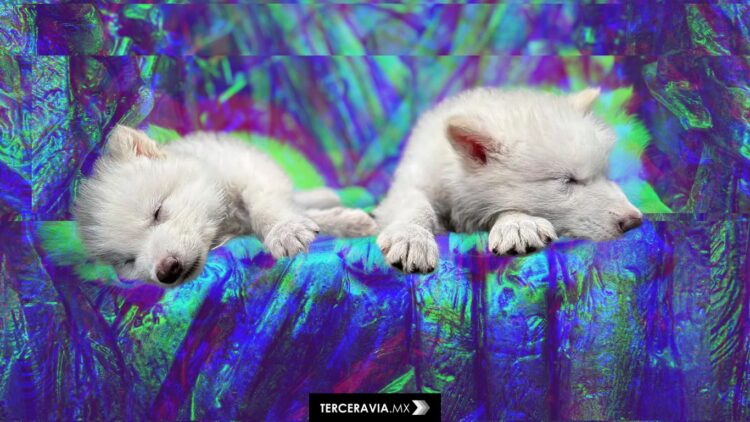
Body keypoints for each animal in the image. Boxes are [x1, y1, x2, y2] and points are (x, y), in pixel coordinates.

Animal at [75, 126, 377, 286]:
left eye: (157, 212)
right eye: (128, 261)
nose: (166, 271)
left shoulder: (252, 171)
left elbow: (266, 206)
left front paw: (285, 230)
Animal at [374, 87, 643, 273]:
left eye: (604, 175)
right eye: (567, 180)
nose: (635, 221)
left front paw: (517, 223)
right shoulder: (413, 181)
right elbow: (416, 204)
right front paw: (411, 236)